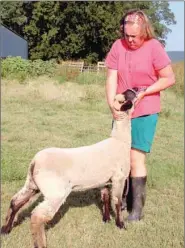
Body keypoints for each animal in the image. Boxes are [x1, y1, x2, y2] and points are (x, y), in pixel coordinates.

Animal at [1, 88, 137, 248]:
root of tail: (35, 161)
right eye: (127, 96)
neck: (119, 141)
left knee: (15, 201)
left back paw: (5, 230)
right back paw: (41, 244)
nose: (134, 89)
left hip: (32, 184)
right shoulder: (119, 178)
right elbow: (117, 201)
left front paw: (106, 219)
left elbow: (105, 198)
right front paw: (121, 225)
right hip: (56, 191)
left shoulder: (104, 180)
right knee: (37, 216)